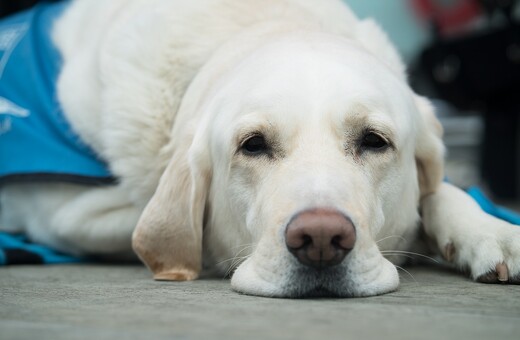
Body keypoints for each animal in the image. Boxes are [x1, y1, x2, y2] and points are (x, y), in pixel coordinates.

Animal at [1, 0, 520, 298]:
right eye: (252, 145)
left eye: (374, 141)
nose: (321, 240)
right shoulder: (68, 214)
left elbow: (442, 191)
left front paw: (489, 230)